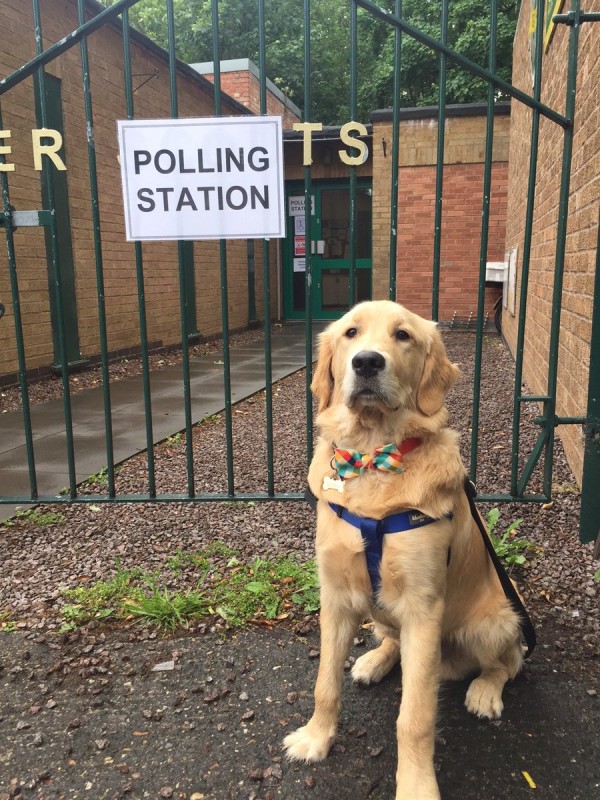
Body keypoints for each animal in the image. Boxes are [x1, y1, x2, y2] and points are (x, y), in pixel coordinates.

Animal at [284, 300, 524, 800]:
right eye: (351, 333)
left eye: (403, 336)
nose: (366, 363)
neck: (373, 456)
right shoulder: (336, 596)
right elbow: (324, 683)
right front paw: (316, 737)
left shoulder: (423, 608)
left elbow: (413, 719)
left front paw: (416, 788)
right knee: (390, 638)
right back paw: (375, 660)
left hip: (495, 620)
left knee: (510, 661)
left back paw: (485, 690)